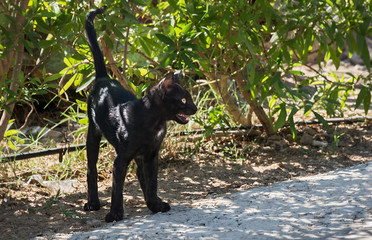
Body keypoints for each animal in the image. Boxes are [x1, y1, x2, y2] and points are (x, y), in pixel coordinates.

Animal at [84, 6, 198, 223]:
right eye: (183, 100)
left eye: (190, 98)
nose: (195, 108)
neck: (155, 123)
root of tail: (104, 78)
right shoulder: (121, 159)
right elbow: (117, 189)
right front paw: (115, 214)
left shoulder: (152, 154)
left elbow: (152, 181)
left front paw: (155, 204)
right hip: (92, 135)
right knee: (91, 168)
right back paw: (93, 203)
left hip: (138, 155)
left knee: (140, 173)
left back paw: (151, 202)